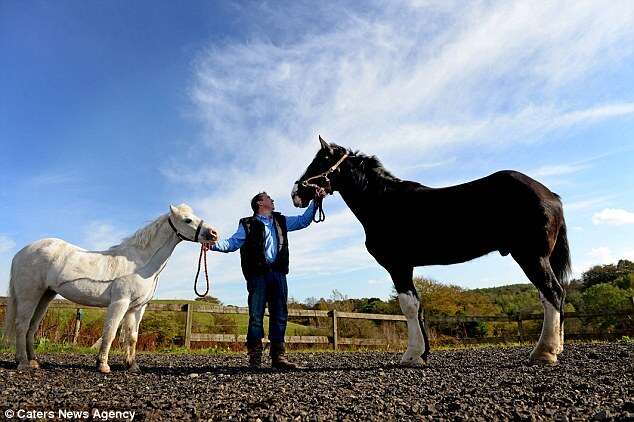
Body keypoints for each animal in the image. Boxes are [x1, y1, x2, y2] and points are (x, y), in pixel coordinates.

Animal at [1, 204, 217, 372]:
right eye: (187, 220)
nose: (214, 233)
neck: (140, 263)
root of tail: (21, 252)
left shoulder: (137, 308)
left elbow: (132, 337)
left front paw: (132, 366)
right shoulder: (119, 303)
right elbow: (111, 332)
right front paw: (103, 365)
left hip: (46, 296)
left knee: (32, 327)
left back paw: (34, 361)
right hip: (29, 295)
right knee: (22, 325)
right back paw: (23, 363)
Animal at [294, 136, 572, 366]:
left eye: (320, 161)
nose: (296, 192)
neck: (383, 203)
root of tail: (551, 195)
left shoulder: (398, 265)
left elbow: (408, 306)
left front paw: (411, 355)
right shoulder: (407, 267)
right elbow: (418, 307)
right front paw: (423, 353)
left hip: (531, 256)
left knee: (552, 292)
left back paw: (544, 352)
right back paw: (556, 348)